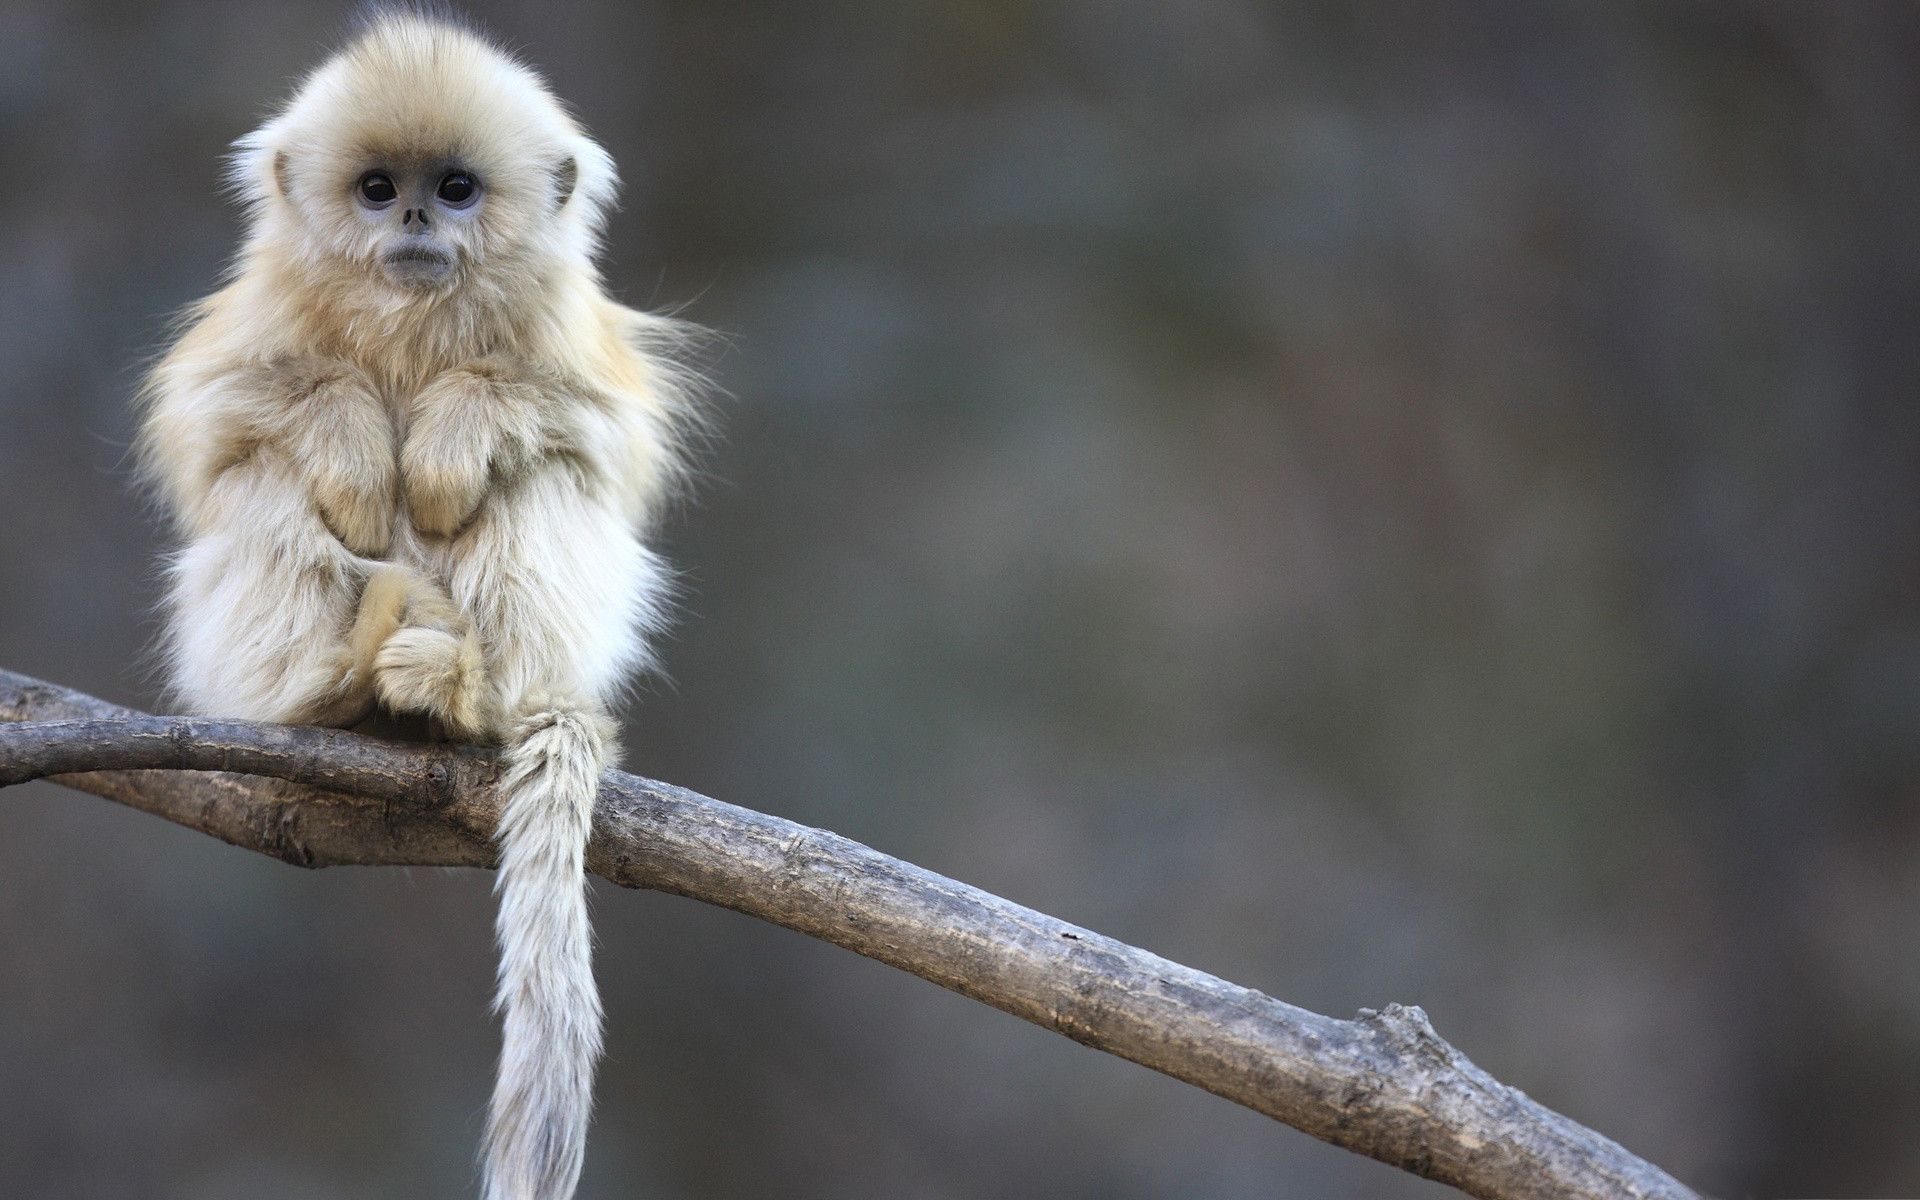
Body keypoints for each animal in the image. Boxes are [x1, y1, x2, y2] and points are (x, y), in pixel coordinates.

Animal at [137, 11, 699, 1198]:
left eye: (455, 188)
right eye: (375, 188)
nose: (409, 220)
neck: (410, 315)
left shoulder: (571, 343)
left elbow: (593, 433)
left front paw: (445, 440)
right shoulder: (251, 326)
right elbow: (220, 420)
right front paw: (356, 447)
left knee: (542, 476)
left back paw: (463, 692)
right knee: (265, 479)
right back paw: (330, 688)